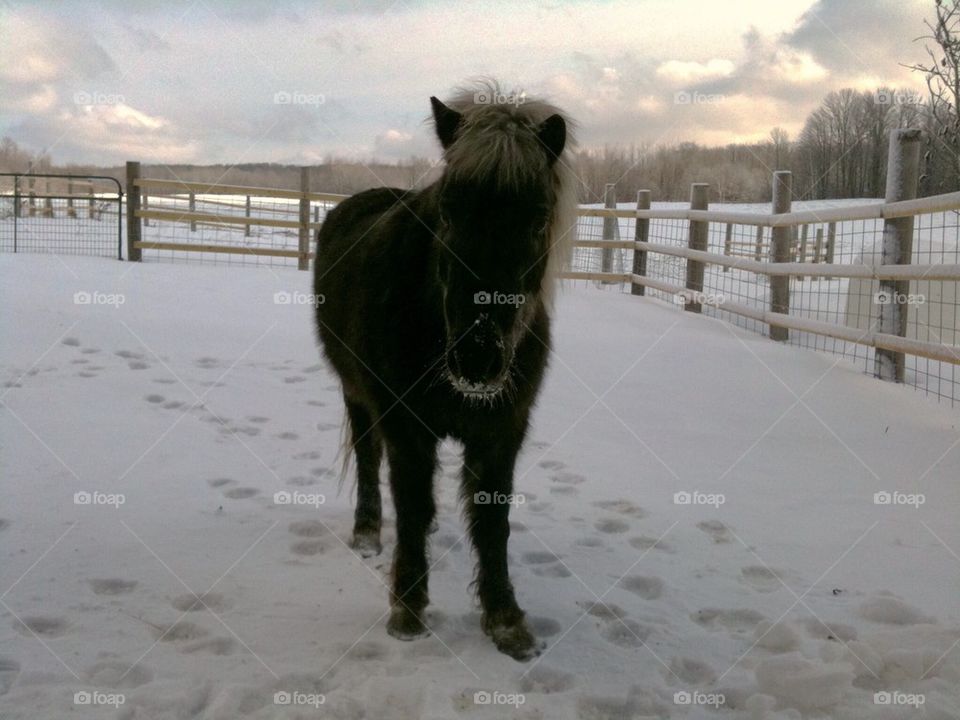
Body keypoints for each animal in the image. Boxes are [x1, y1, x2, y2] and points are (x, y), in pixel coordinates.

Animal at [313, 82, 576, 660]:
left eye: (537, 219)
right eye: (450, 215)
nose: (476, 361)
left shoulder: (502, 432)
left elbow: (492, 521)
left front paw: (504, 619)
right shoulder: (407, 427)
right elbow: (414, 507)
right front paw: (408, 610)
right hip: (356, 394)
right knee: (367, 457)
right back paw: (367, 532)